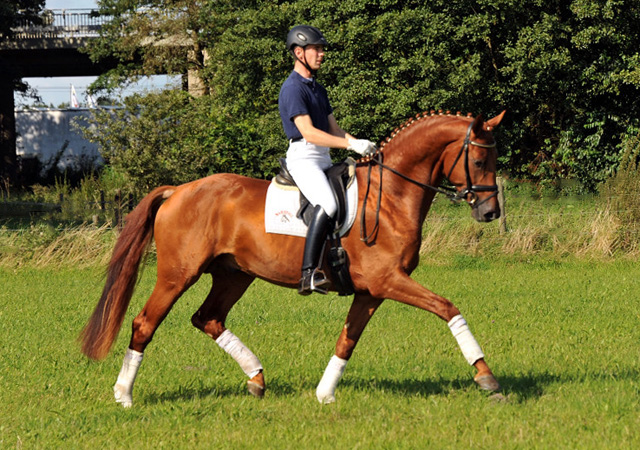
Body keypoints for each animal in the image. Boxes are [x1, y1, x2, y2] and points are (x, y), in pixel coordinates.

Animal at [80, 110, 508, 408]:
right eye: (479, 162)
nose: (490, 213)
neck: (389, 196)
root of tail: (179, 190)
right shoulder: (388, 280)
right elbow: (448, 308)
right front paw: (487, 379)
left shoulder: (371, 290)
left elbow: (347, 340)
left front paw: (324, 394)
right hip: (178, 274)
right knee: (145, 323)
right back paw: (124, 395)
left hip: (234, 275)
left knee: (208, 318)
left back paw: (256, 378)